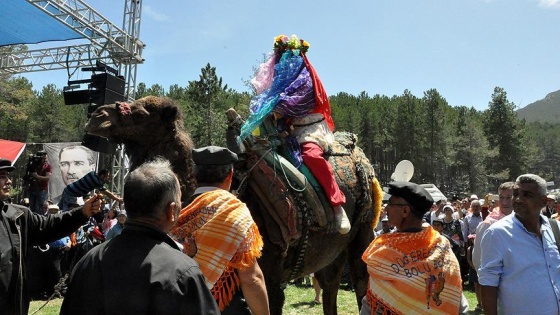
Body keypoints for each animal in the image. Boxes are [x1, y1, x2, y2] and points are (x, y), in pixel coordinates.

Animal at [85, 97, 382, 315]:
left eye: (143, 112)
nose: (97, 114)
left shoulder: (270, 276)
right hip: (331, 250)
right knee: (330, 283)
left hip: (364, 230)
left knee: (360, 280)